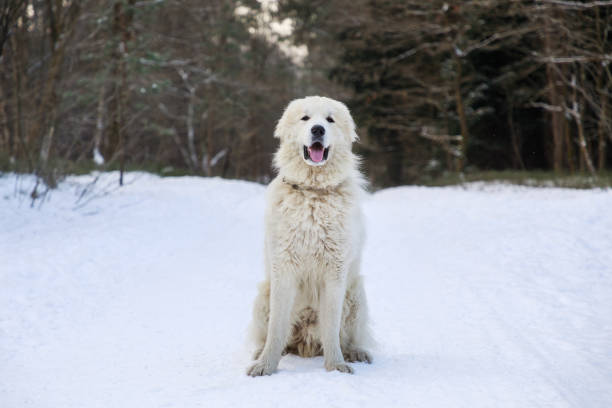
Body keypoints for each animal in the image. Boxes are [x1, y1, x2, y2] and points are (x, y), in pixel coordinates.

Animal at [245, 95, 370, 376]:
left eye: (330, 120)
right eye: (305, 118)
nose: (318, 130)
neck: (313, 191)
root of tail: (306, 343)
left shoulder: (335, 272)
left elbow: (332, 328)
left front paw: (336, 366)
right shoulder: (283, 269)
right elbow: (276, 328)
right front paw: (266, 366)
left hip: (356, 293)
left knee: (349, 336)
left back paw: (356, 352)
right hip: (263, 294)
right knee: (275, 335)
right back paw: (261, 353)